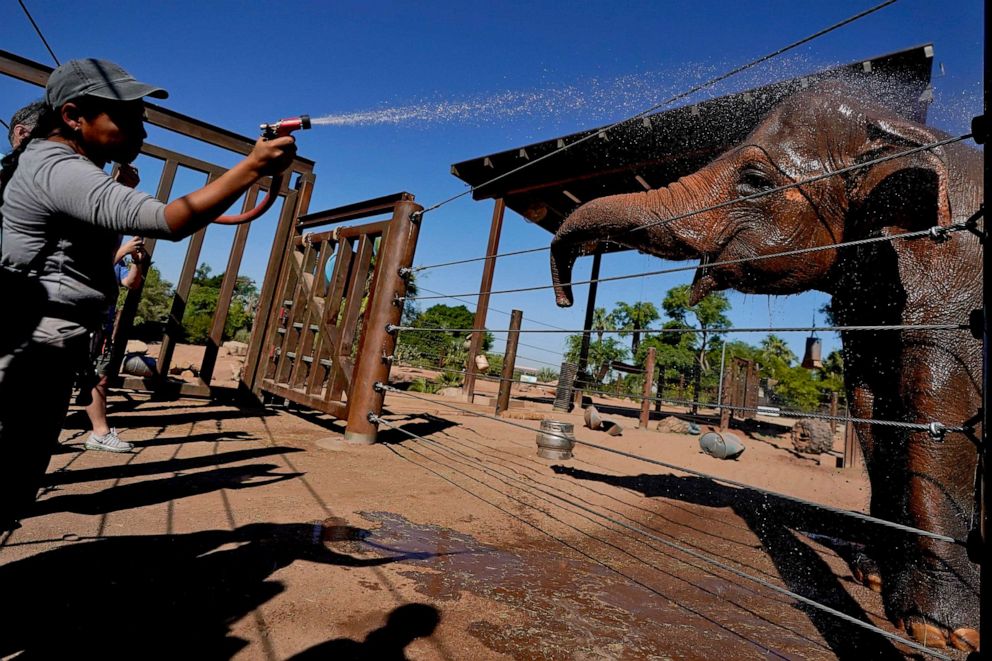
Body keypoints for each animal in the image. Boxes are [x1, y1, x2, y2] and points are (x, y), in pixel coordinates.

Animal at [552, 81, 984, 648]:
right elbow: (871, 404)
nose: (564, 299)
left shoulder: (954, 273)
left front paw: (942, 632)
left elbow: (938, 400)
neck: (905, 129)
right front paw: (873, 577)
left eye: (755, 181)